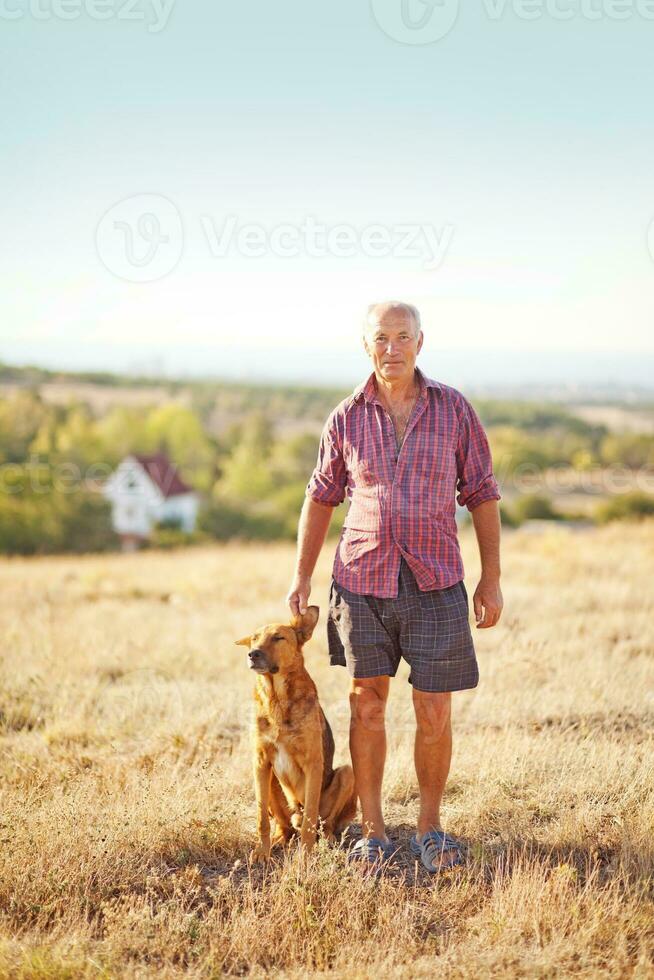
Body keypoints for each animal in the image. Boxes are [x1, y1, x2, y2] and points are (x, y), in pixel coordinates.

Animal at [237, 604, 356, 856]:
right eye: (254, 639)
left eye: (278, 637)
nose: (253, 654)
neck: (277, 698)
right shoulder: (260, 762)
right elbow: (261, 818)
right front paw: (261, 853)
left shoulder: (313, 763)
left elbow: (310, 817)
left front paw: (306, 855)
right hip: (270, 782)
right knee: (284, 824)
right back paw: (280, 838)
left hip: (347, 773)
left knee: (324, 823)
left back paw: (327, 841)